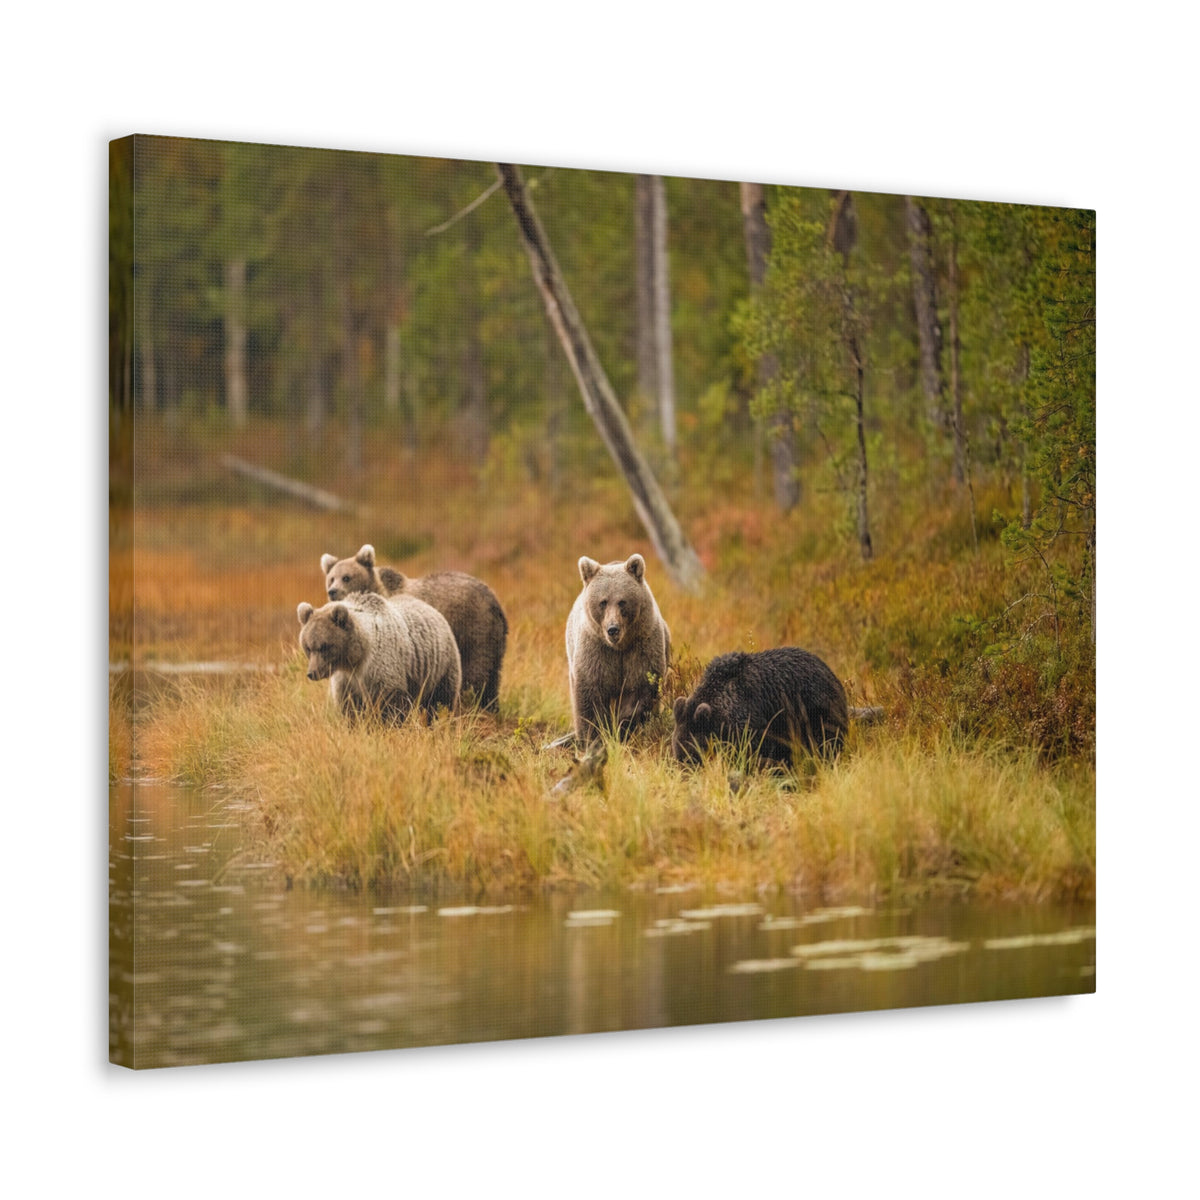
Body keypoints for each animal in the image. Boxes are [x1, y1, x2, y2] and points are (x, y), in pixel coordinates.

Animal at [297, 590, 461, 722]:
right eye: (308, 647)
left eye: (325, 646)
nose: (312, 673)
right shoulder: (345, 680)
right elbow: (349, 707)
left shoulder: (381, 667)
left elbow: (389, 704)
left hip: (440, 666)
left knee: (441, 700)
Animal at [319, 544, 507, 712]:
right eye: (331, 578)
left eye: (346, 577)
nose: (332, 591)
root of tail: (494, 599)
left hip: (473, 629)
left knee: (475, 674)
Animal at [565, 553, 671, 745]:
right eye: (603, 602)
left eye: (622, 601)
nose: (612, 629)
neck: (620, 646)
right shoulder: (596, 651)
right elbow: (590, 695)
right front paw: (594, 737)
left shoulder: (641, 647)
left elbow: (639, 689)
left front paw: (623, 726)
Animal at [671, 647, 849, 767]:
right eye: (677, 750)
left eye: (691, 752)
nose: (683, 768)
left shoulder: (753, 722)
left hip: (816, 711)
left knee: (825, 742)